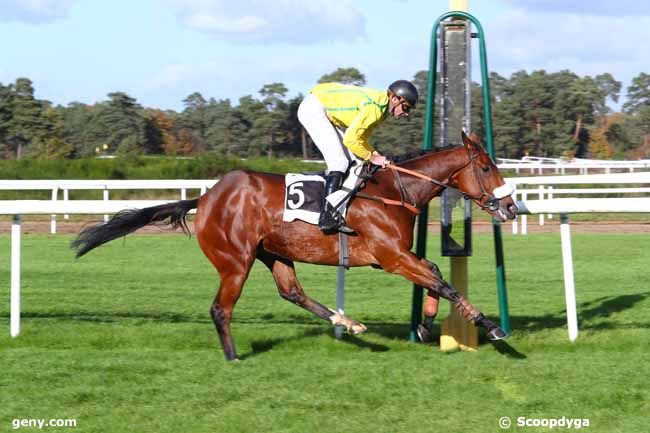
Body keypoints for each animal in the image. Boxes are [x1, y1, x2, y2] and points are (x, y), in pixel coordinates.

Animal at [71, 130, 516, 360]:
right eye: (486, 166)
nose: (511, 206)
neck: (392, 190)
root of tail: (206, 197)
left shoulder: (393, 256)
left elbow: (435, 275)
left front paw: (425, 325)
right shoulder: (390, 257)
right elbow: (442, 281)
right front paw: (493, 329)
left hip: (274, 254)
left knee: (292, 292)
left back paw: (347, 322)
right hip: (236, 261)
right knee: (220, 309)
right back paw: (233, 358)